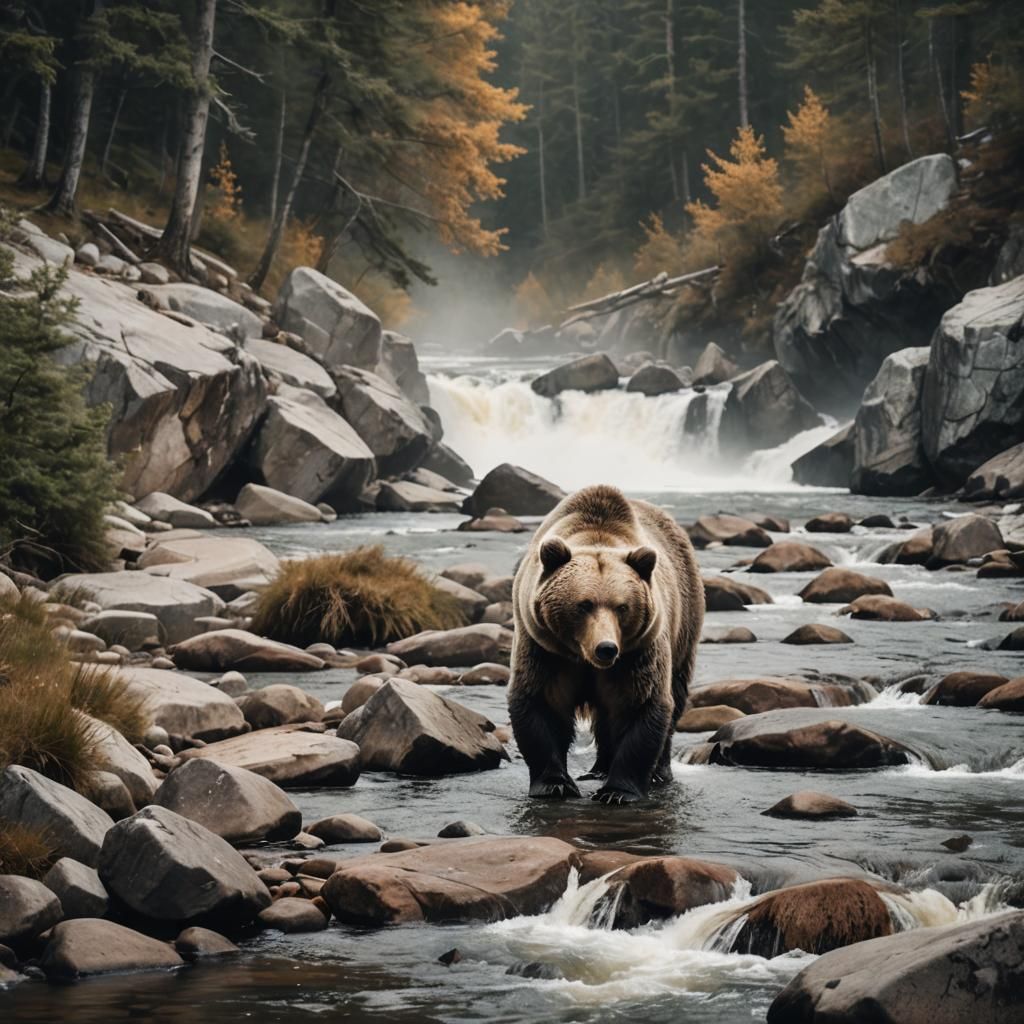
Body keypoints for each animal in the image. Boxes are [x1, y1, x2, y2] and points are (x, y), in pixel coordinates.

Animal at [508, 484, 703, 804]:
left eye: (622, 607)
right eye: (583, 605)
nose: (606, 648)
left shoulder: (638, 653)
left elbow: (641, 704)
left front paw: (617, 791)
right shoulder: (545, 648)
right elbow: (541, 701)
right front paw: (555, 784)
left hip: (685, 623)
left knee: (674, 694)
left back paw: (658, 772)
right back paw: (598, 768)